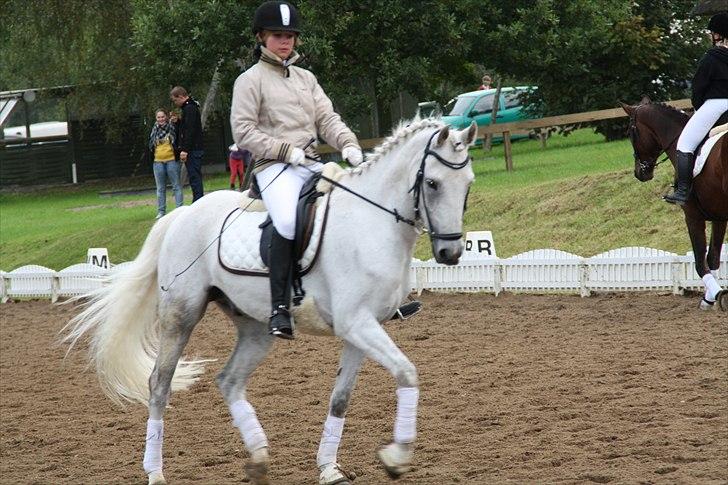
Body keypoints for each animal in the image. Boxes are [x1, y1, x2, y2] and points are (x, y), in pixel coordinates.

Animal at [63, 118, 477, 485]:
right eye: (432, 183)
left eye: (468, 184)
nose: (451, 253)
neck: (370, 222)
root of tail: (184, 212)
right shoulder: (357, 324)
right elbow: (407, 372)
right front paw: (397, 457)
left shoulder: (361, 329)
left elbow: (340, 398)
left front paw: (330, 469)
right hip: (181, 315)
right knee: (159, 385)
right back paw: (155, 472)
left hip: (256, 328)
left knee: (229, 380)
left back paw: (260, 458)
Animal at [620, 97, 728, 310]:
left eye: (630, 132)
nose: (640, 173)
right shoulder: (719, 216)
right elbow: (713, 257)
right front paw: (710, 297)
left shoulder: (692, 216)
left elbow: (700, 260)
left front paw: (714, 296)